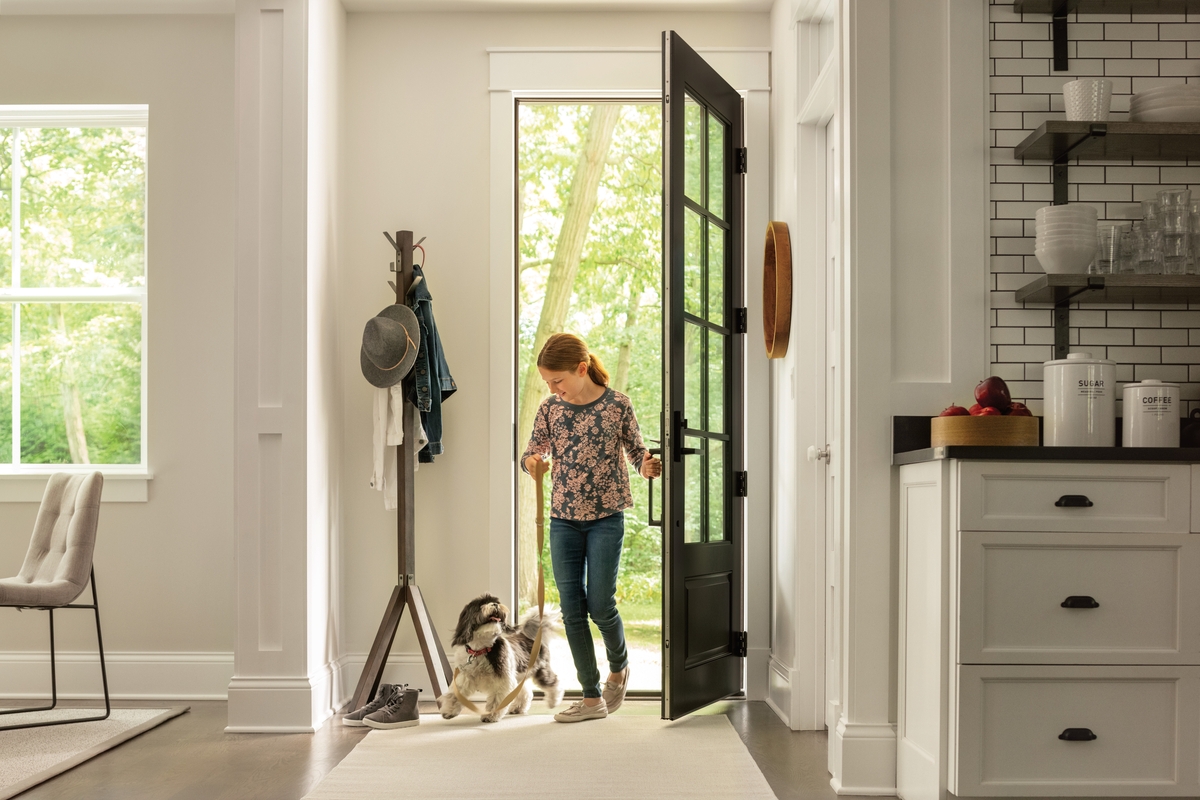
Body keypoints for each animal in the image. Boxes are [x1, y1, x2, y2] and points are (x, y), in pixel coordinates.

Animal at [439, 592, 564, 724]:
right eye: (481, 604)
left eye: (496, 602)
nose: (495, 604)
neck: (481, 650)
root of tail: (531, 637)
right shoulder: (465, 677)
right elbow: (454, 695)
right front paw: (448, 710)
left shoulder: (502, 680)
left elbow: (496, 700)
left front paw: (490, 716)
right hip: (518, 675)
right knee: (526, 692)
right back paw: (518, 708)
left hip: (540, 670)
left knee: (554, 683)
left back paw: (553, 702)